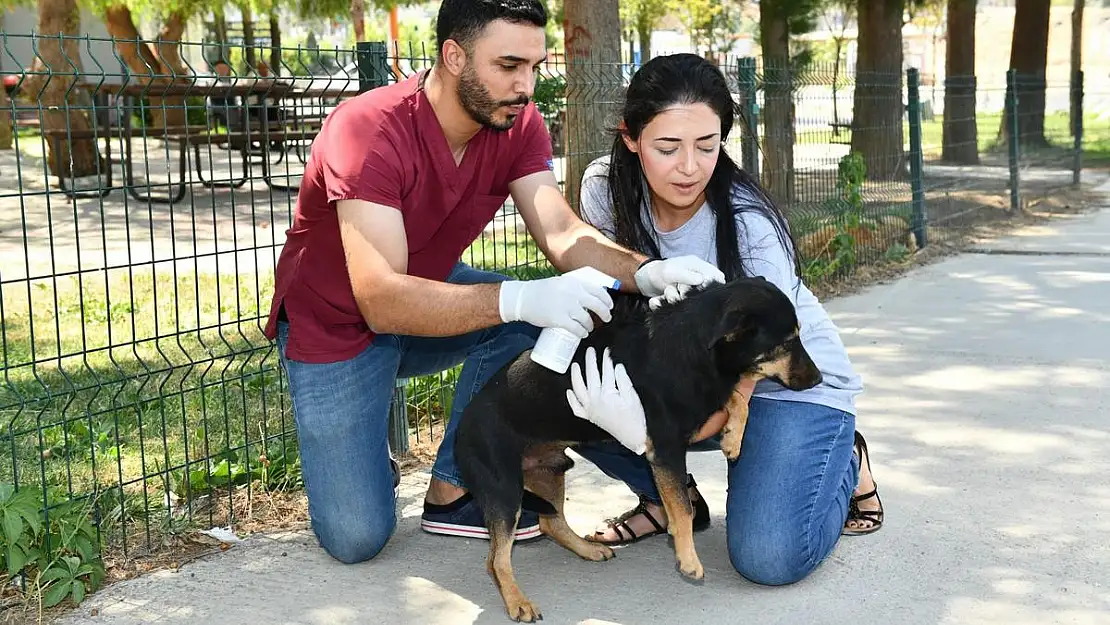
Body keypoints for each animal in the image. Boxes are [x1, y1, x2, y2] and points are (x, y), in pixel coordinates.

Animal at [450, 276, 825, 621]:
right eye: (787, 342)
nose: (819, 380)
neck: (693, 346)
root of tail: (460, 429)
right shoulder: (666, 449)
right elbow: (682, 509)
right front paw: (688, 559)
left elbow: (736, 398)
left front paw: (733, 436)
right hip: (504, 492)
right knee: (496, 559)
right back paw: (518, 602)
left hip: (549, 470)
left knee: (551, 522)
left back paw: (588, 550)